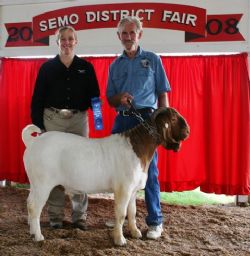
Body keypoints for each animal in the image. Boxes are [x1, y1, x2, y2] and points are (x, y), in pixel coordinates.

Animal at [22, 106, 189, 246]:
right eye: (174, 119)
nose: (187, 131)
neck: (137, 147)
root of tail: (33, 141)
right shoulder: (124, 189)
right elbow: (121, 214)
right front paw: (120, 239)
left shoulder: (133, 190)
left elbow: (132, 212)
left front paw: (135, 233)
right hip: (43, 183)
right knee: (34, 207)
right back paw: (38, 236)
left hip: (35, 183)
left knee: (29, 202)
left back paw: (31, 231)